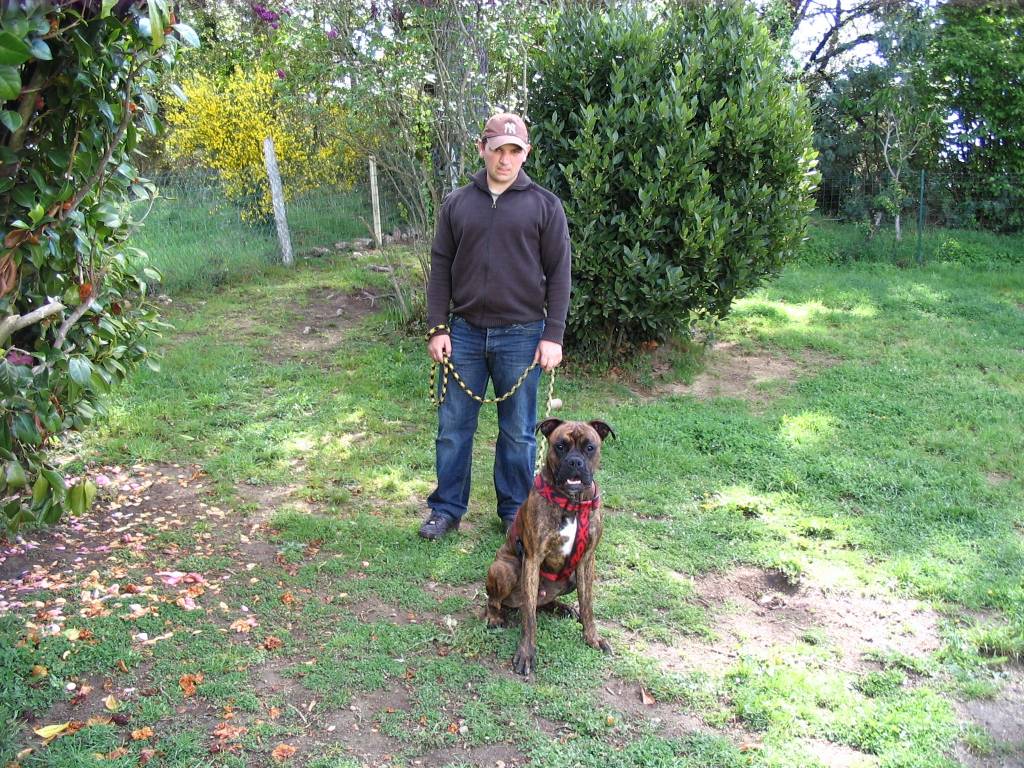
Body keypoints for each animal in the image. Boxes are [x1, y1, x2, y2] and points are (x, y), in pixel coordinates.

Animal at [485, 418, 614, 675]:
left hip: (571, 576)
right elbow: (529, 618)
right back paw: (494, 617)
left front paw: (592, 638)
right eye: (560, 446)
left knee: (541, 603)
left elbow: (588, 606)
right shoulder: (532, 559)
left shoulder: (587, 560)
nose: (574, 462)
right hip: (504, 570)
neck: (573, 503)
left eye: (589, 447)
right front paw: (526, 653)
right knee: (498, 602)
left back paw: (562, 608)